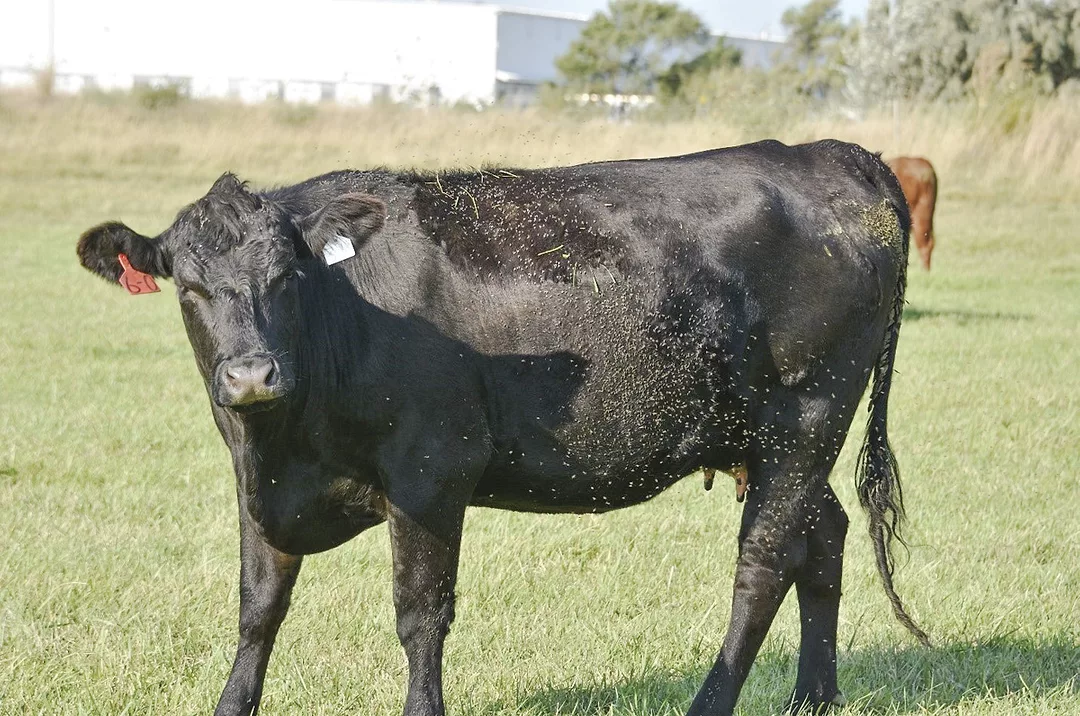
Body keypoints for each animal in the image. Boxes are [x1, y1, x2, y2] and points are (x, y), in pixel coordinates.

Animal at [76, 139, 928, 716]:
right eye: (188, 287)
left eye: (287, 277)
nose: (252, 375)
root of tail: (827, 154)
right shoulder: (263, 486)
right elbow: (258, 609)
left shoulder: (431, 473)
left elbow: (420, 615)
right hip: (768, 440)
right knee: (823, 539)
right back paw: (813, 697)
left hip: (805, 418)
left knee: (763, 563)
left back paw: (713, 702)